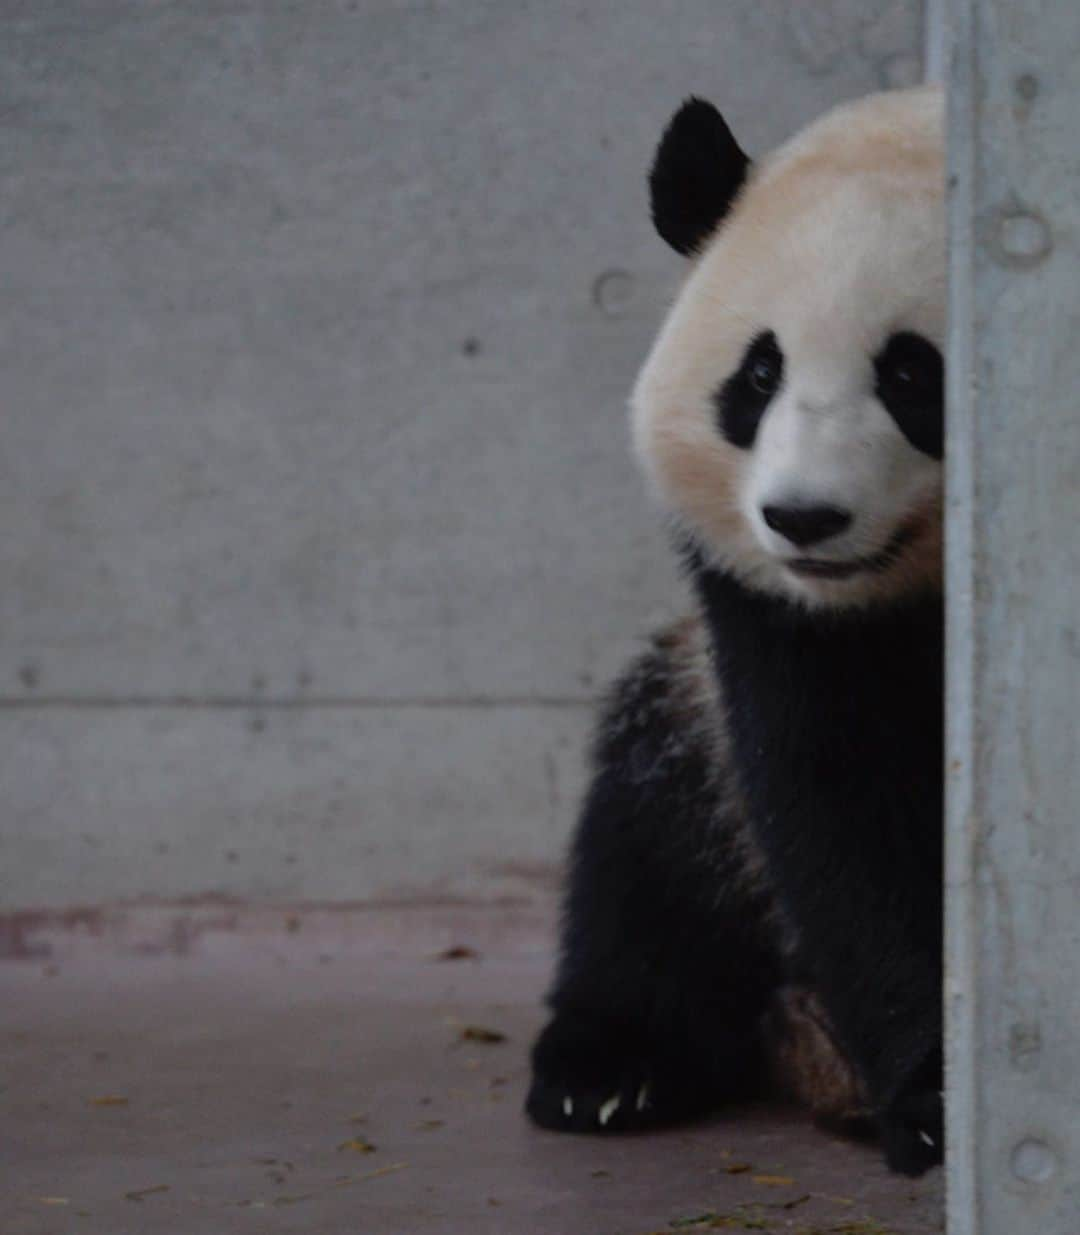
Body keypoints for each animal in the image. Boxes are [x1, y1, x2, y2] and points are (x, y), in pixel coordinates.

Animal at [526, 87, 939, 1175]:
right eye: (757, 375)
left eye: (913, 375)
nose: (806, 517)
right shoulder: (779, 621)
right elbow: (844, 807)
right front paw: (938, 1097)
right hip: (687, 716)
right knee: (647, 850)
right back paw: (607, 1069)